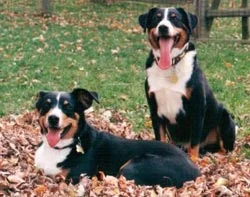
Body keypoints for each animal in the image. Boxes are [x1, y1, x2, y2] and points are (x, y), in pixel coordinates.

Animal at [34, 88, 201, 188]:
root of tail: (197, 172)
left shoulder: (75, 178)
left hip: (132, 168)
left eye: (67, 106)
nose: (53, 118)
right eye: (46, 105)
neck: (60, 147)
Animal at [139, 7, 236, 160]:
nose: (163, 27)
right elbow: (160, 138)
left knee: (224, 149)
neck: (171, 65)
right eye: (157, 18)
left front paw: (193, 161)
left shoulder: (197, 108)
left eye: (174, 18)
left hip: (225, 118)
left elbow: (194, 144)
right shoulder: (154, 109)